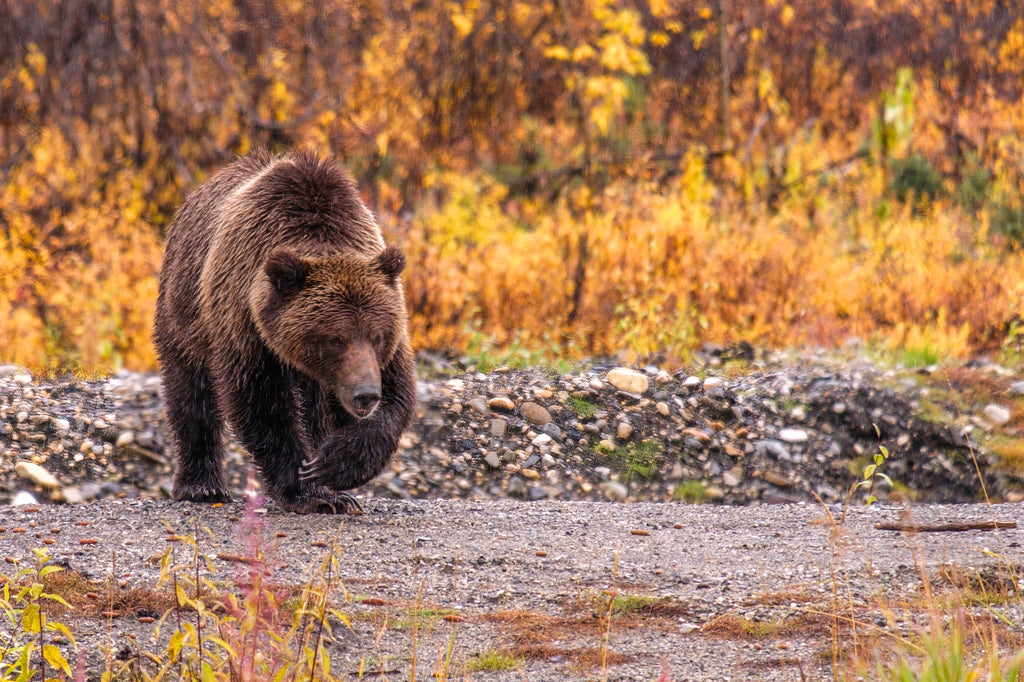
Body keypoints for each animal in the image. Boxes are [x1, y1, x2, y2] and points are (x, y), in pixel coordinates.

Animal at [152, 148, 415, 509]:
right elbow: (262, 403)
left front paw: (335, 468)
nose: (365, 394)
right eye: (335, 338)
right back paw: (201, 486)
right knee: (191, 390)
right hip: (185, 306)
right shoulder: (244, 321)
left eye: (377, 336)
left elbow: (396, 395)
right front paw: (310, 491)